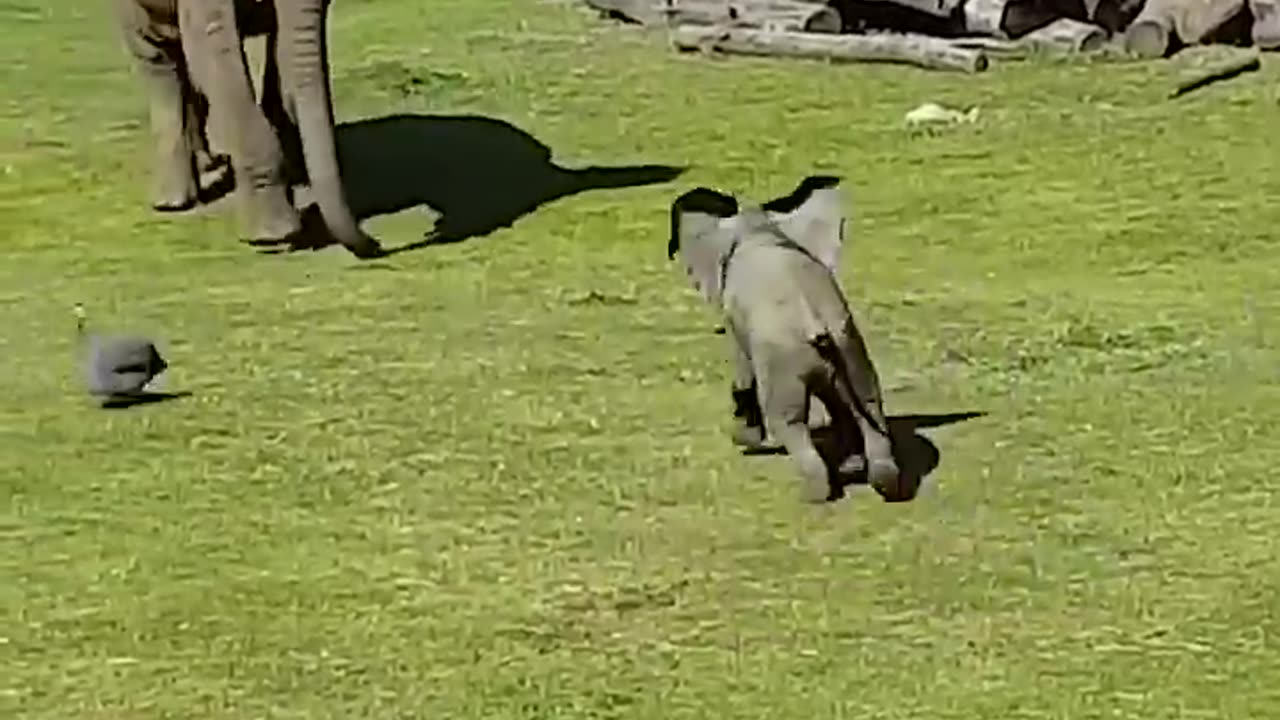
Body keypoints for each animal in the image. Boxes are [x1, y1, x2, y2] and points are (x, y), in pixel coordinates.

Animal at [665, 174, 906, 502]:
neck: (759, 229)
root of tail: (814, 321)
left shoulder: (736, 315)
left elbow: (744, 370)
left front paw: (744, 441)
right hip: (848, 344)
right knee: (868, 402)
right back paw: (880, 481)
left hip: (785, 358)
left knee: (790, 421)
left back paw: (814, 494)